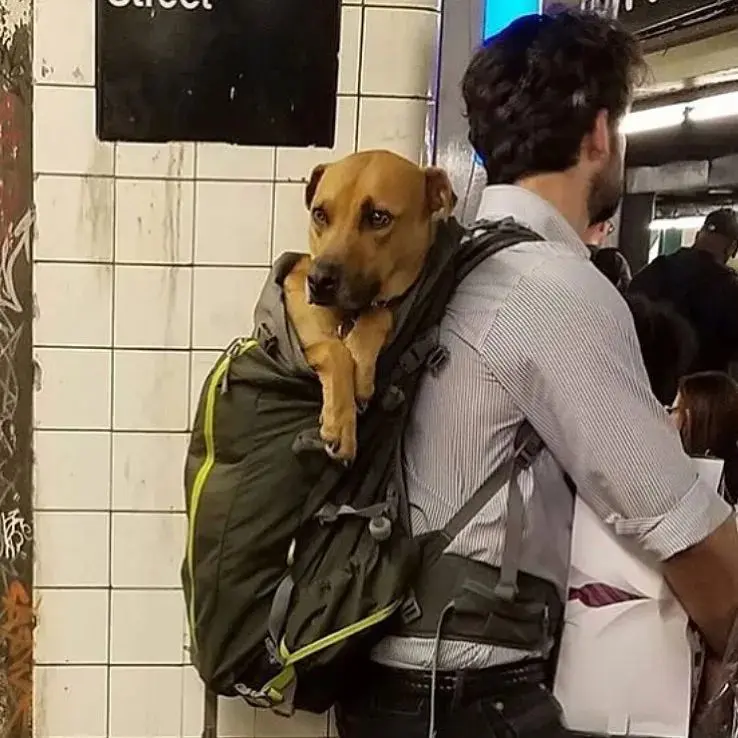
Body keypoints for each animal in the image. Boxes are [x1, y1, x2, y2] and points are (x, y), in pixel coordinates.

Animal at [284, 148, 452, 460]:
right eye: (320, 214)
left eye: (378, 217)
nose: (318, 281)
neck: (351, 314)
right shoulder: (297, 296)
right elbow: (333, 348)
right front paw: (340, 422)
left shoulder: (380, 305)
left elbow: (379, 314)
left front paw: (361, 365)